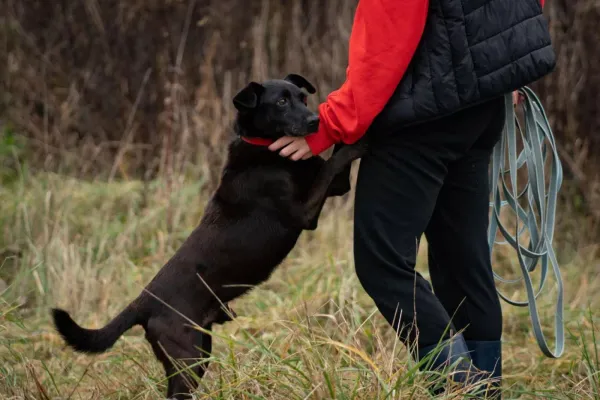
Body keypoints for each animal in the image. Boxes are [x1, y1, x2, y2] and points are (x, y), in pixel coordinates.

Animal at [51, 73, 366, 398]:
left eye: (303, 98)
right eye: (281, 102)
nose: (315, 120)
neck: (266, 150)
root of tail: (143, 302)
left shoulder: (336, 186)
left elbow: (334, 162)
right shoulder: (305, 214)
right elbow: (335, 162)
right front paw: (360, 141)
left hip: (199, 351)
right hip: (187, 355)